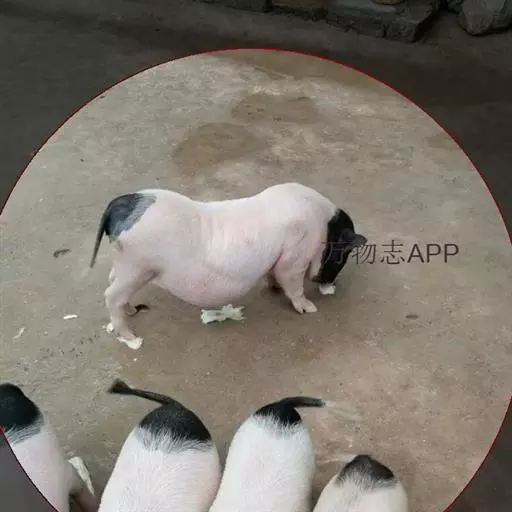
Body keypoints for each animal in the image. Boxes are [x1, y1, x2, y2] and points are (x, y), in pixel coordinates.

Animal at [89, 182, 367, 348]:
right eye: (343, 254)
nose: (329, 283)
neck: (322, 227)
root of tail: (119, 205)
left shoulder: (277, 261)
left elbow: (273, 275)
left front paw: (274, 289)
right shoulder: (294, 258)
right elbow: (293, 284)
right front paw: (310, 309)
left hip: (126, 266)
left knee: (112, 282)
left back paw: (134, 311)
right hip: (136, 266)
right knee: (110, 295)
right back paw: (132, 338)